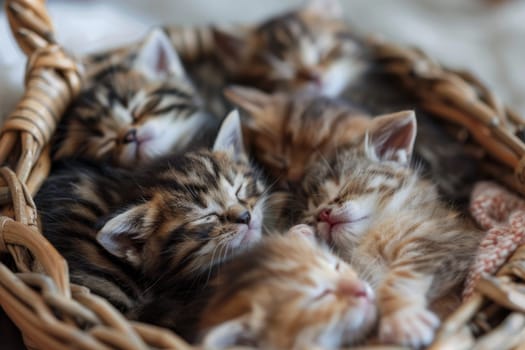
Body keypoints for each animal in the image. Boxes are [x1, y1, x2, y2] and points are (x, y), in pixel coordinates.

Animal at [296, 111, 482, 348]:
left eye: (342, 186)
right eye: (311, 212)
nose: (323, 214)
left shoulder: (444, 239)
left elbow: (403, 275)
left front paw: (402, 317)